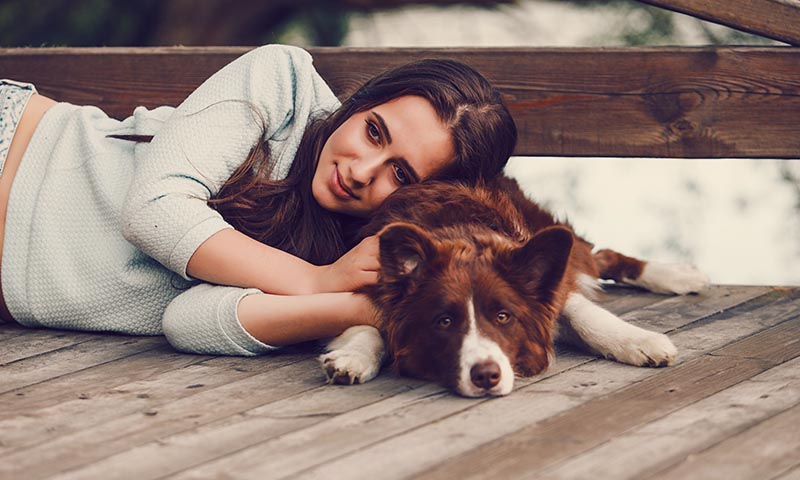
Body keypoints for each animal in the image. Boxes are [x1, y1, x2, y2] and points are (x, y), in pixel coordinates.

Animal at [318, 176, 708, 398]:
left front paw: (639, 341)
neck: (459, 236)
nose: (486, 375)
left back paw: (678, 275)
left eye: (503, 316)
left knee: (602, 256)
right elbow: (367, 326)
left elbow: (585, 315)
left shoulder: (548, 282)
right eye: (444, 322)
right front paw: (353, 357)